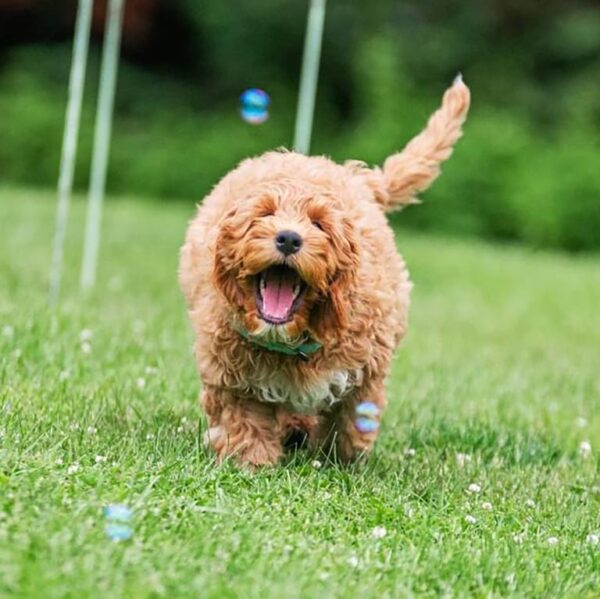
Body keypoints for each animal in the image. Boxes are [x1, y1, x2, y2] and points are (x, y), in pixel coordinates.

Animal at [180, 76, 472, 468]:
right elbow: (244, 418)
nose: (289, 238)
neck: (290, 339)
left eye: (319, 223)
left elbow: (351, 416)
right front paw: (251, 462)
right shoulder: (230, 373)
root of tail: (357, 178)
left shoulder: (366, 366)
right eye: (265, 213)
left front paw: (340, 460)